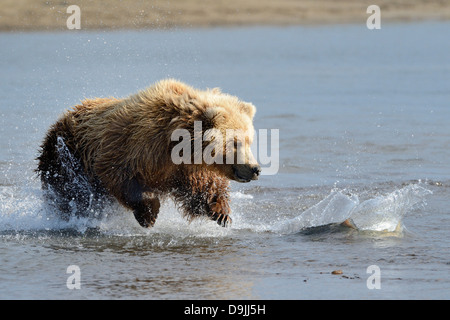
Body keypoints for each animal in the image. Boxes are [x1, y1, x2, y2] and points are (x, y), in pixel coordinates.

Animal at [37, 79, 260, 228]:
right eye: (236, 143)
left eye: (250, 140)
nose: (255, 169)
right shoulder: (133, 146)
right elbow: (119, 175)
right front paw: (150, 214)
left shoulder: (185, 168)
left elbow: (203, 186)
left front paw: (221, 213)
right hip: (65, 157)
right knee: (72, 193)